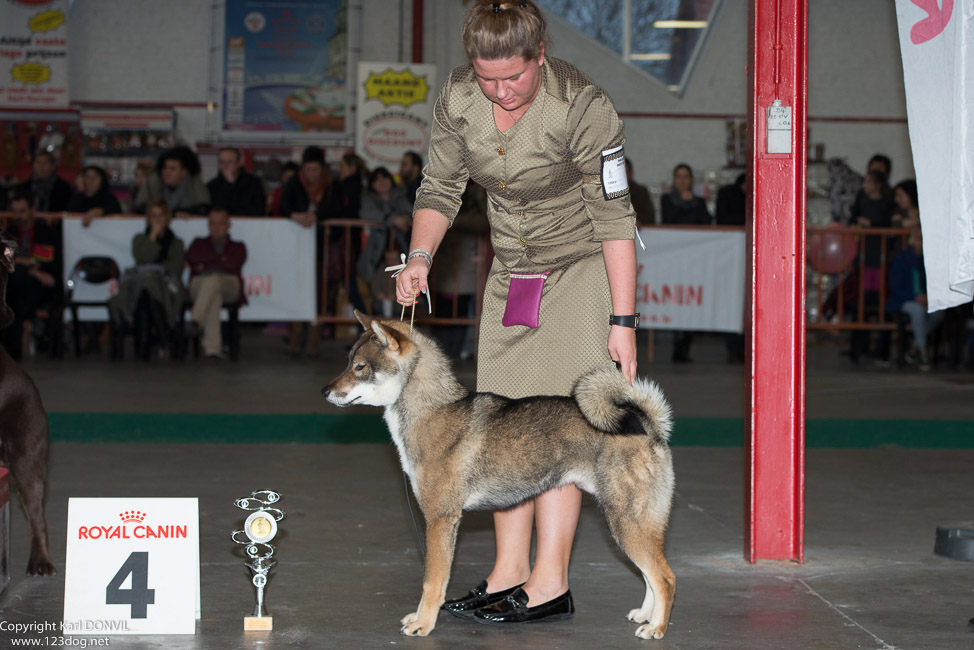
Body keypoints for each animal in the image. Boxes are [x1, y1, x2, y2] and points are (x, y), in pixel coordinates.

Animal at [324, 312, 676, 636]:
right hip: (632, 525)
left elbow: (432, 582)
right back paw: (645, 616)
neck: (432, 411)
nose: (325, 390)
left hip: (627, 523)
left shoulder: (440, 520)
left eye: (359, 367)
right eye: (349, 362)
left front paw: (423, 624)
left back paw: (657, 628)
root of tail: (648, 425)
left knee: (665, 577)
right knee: (650, 575)